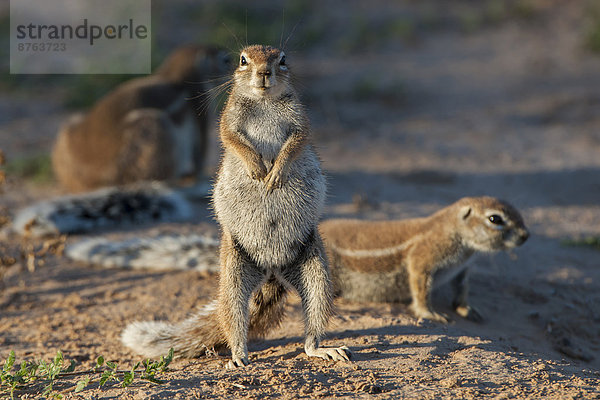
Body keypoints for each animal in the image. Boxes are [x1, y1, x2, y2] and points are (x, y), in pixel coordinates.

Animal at [119, 44, 350, 368]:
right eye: (242, 60)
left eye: (282, 59)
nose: (264, 72)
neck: (264, 101)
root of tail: (272, 270)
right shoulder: (228, 120)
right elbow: (232, 139)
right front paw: (256, 168)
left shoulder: (300, 121)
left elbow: (296, 141)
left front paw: (275, 172)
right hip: (232, 276)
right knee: (233, 319)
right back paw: (239, 355)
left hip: (316, 272)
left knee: (312, 326)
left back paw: (321, 348)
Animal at [322, 195, 528, 324]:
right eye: (495, 219)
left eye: (519, 213)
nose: (526, 235)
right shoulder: (424, 255)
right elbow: (421, 286)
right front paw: (429, 313)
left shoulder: (462, 269)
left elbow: (462, 287)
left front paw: (466, 309)